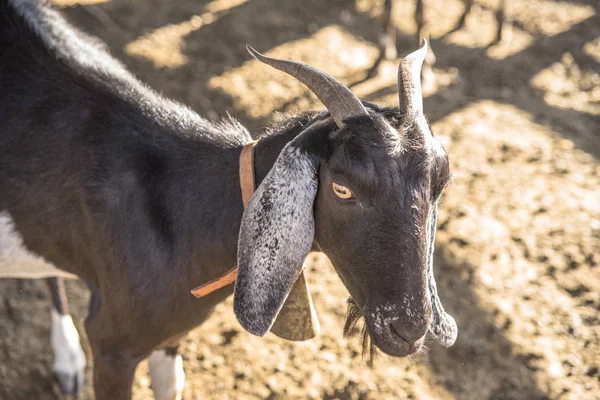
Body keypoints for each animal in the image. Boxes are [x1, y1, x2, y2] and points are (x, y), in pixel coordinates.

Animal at [0, 1, 458, 398]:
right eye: (342, 189)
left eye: (440, 182)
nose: (408, 330)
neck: (182, 207)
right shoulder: (112, 343)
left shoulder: (170, 334)